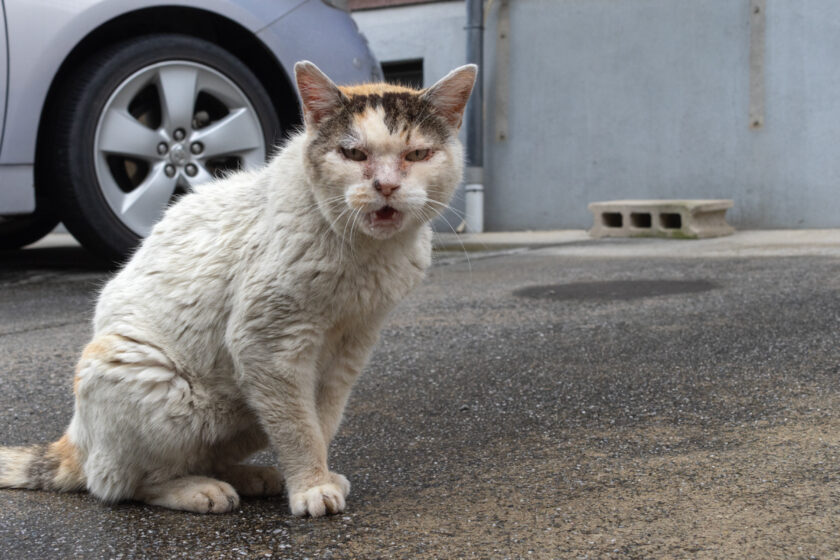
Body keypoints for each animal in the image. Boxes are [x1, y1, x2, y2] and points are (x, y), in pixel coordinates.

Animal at [0, 61, 476, 516]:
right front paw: (311, 487)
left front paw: (316, 477)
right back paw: (200, 491)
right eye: (353, 153)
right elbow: (299, 428)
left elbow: (322, 420)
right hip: (147, 376)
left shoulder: (351, 346)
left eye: (417, 154)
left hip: (244, 413)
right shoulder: (269, 345)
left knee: (203, 457)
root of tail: (76, 439)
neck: (366, 255)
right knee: (121, 483)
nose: (386, 186)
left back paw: (253, 477)